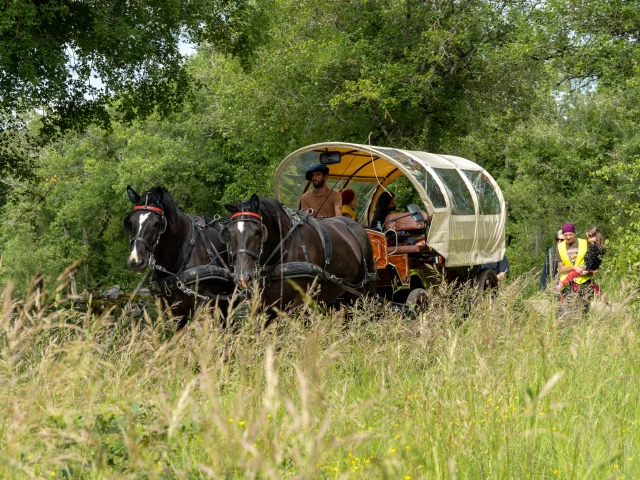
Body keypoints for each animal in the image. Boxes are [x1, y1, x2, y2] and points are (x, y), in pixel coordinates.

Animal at [222, 194, 378, 310]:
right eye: (230, 232)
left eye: (257, 231)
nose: (242, 278)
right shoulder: (264, 303)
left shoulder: (299, 301)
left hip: (365, 288)